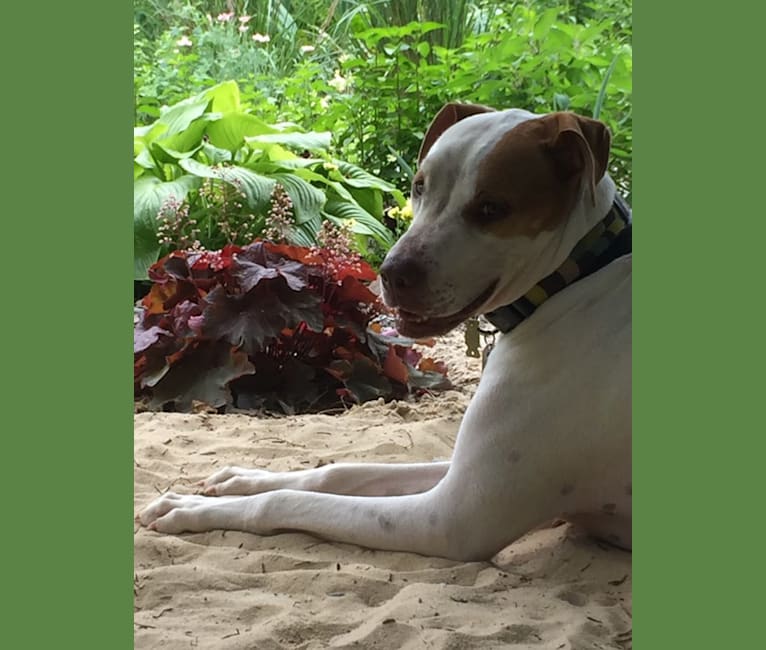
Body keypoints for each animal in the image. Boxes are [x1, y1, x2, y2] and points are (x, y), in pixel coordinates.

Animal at [141, 104, 632, 560]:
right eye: (419, 186)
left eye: (492, 208)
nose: (392, 273)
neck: (574, 277)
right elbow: (339, 472)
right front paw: (243, 478)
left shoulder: (449, 517)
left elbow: (283, 501)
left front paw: (190, 508)